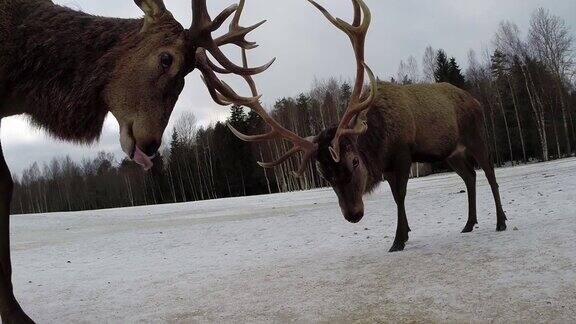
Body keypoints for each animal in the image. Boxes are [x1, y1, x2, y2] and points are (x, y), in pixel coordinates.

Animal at [217, 0, 508, 256]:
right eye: (323, 173)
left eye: (355, 161)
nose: (353, 214)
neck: (379, 140)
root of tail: (476, 100)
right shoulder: (389, 164)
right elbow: (397, 196)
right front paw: (404, 235)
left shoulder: (403, 154)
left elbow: (400, 196)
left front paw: (398, 240)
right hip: (451, 152)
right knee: (469, 176)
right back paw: (469, 223)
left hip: (476, 134)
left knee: (489, 173)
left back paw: (500, 221)